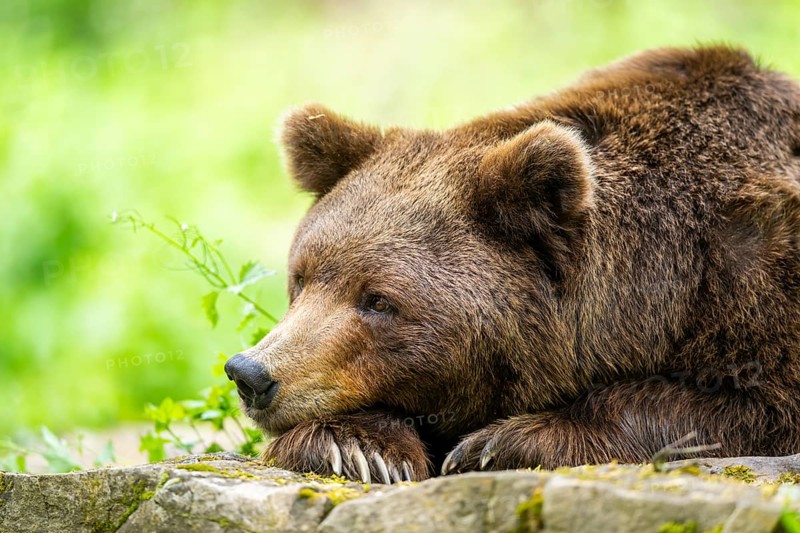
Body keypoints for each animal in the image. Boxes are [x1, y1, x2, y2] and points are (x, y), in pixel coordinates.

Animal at [224, 45, 800, 484]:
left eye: (379, 300)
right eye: (301, 278)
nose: (252, 374)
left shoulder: (758, 274)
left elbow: (750, 405)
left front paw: (494, 445)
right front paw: (358, 447)